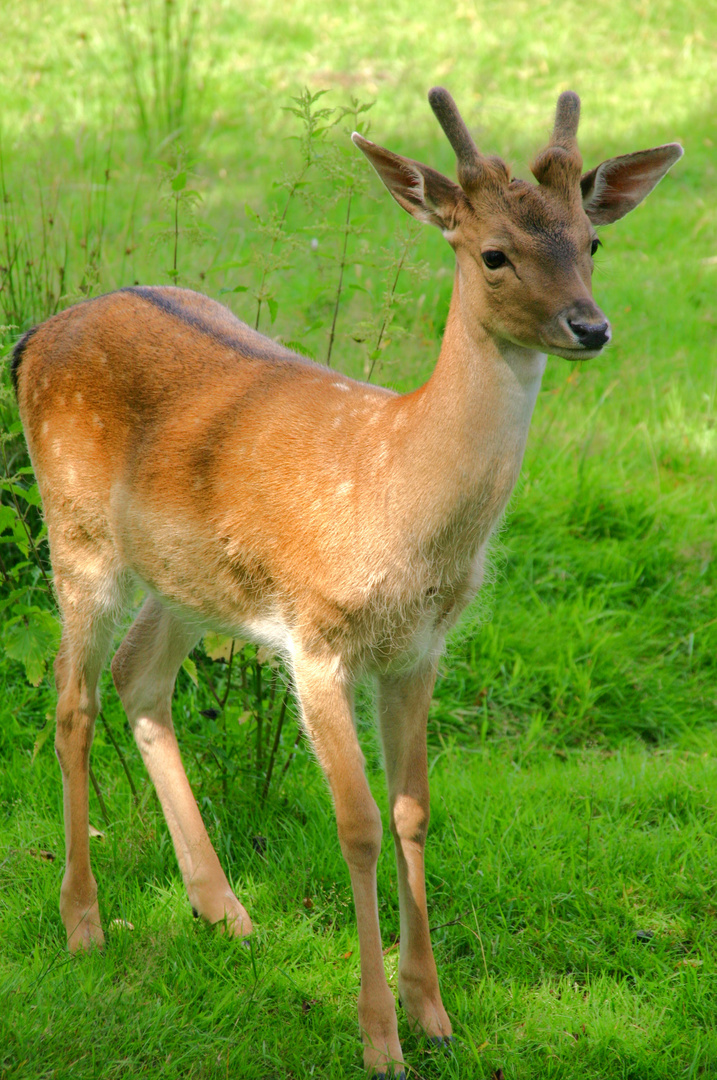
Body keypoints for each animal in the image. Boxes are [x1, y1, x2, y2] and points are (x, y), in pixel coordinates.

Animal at [12, 88, 682, 1075]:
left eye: (590, 241)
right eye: (494, 253)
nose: (589, 327)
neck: (397, 501)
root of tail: (32, 339)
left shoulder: (418, 651)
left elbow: (413, 812)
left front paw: (433, 1012)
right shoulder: (317, 638)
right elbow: (358, 824)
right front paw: (378, 1037)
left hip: (190, 581)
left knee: (140, 679)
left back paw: (224, 909)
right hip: (76, 531)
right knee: (71, 698)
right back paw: (85, 923)